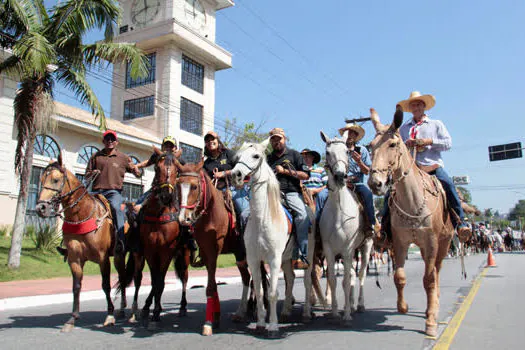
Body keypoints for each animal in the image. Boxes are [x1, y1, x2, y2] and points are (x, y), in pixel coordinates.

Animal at [35, 154, 126, 332]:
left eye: (56, 180)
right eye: (41, 179)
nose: (40, 208)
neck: (82, 214)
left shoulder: (103, 259)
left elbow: (106, 285)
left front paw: (109, 315)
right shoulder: (75, 259)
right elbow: (76, 286)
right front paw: (72, 318)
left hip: (120, 256)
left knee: (123, 277)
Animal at [174, 159, 252, 336]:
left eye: (194, 187)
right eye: (177, 185)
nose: (183, 218)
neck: (211, 213)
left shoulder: (214, 250)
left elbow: (210, 287)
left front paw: (208, 323)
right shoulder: (205, 250)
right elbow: (213, 285)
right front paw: (215, 318)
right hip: (240, 254)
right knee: (248, 277)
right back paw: (244, 310)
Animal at [230, 138, 298, 338]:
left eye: (256, 156)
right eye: (238, 156)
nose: (235, 175)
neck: (263, 218)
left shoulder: (274, 259)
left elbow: (273, 293)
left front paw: (273, 326)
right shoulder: (253, 259)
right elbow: (260, 292)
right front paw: (260, 322)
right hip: (286, 258)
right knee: (291, 278)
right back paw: (286, 311)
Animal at [302, 132, 372, 326]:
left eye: (347, 151)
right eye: (328, 152)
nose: (341, 176)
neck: (339, 210)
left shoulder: (347, 249)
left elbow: (347, 280)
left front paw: (346, 314)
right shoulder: (329, 249)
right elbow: (333, 280)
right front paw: (334, 312)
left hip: (366, 246)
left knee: (361, 274)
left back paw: (359, 305)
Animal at [364, 106, 454, 336]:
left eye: (392, 144)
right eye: (369, 146)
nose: (375, 183)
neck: (412, 200)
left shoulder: (431, 243)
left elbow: (429, 279)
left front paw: (430, 322)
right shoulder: (400, 243)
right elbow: (400, 276)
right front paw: (402, 307)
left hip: (444, 243)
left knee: (436, 271)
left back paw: (435, 304)